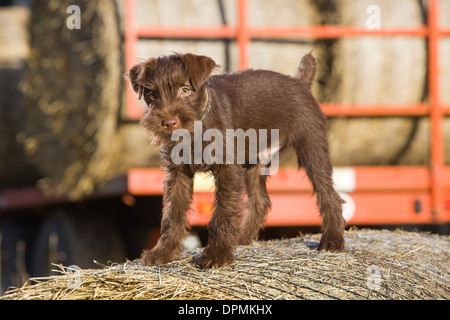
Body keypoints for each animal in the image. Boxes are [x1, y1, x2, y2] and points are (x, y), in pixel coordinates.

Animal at [125, 52, 344, 268]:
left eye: (185, 89)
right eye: (152, 95)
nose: (168, 123)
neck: (199, 126)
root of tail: (300, 83)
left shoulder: (227, 170)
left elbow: (222, 213)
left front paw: (216, 254)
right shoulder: (177, 174)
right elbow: (172, 213)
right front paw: (163, 252)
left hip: (312, 148)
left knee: (329, 195)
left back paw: (332, 241)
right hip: (255, 163)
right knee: (260, 200)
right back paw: (242, 237)